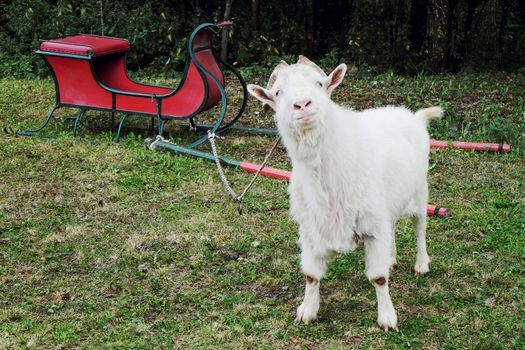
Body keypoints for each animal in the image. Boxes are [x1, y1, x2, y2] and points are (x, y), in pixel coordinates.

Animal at [247, 56, 442, 330]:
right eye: (277, 93)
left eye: (320, 83)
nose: (302, 104)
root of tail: (413, 116)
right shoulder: (311, 229)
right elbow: (311, 275)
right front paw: (307, 310)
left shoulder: (372, 228)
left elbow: (379, 278)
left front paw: (387, 317)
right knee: (392, 226)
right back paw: (392, 258)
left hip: (419, 191)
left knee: (420, 226)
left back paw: (422, 263)